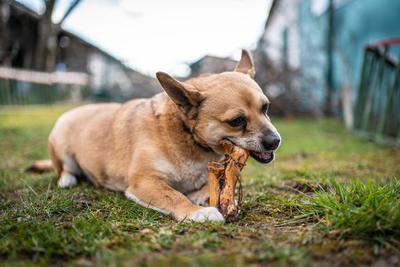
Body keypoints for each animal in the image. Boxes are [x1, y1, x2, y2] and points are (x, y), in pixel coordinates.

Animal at [29, 49, 282, 222]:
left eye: (266, 108)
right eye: (237, 121)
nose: (275, 142)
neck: (189, 140)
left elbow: (201, 189)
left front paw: (203, 198)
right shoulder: (145, 182)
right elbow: (174, 196)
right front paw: (197, 212)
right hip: (61, 141)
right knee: (63, 169)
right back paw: (68, 179)